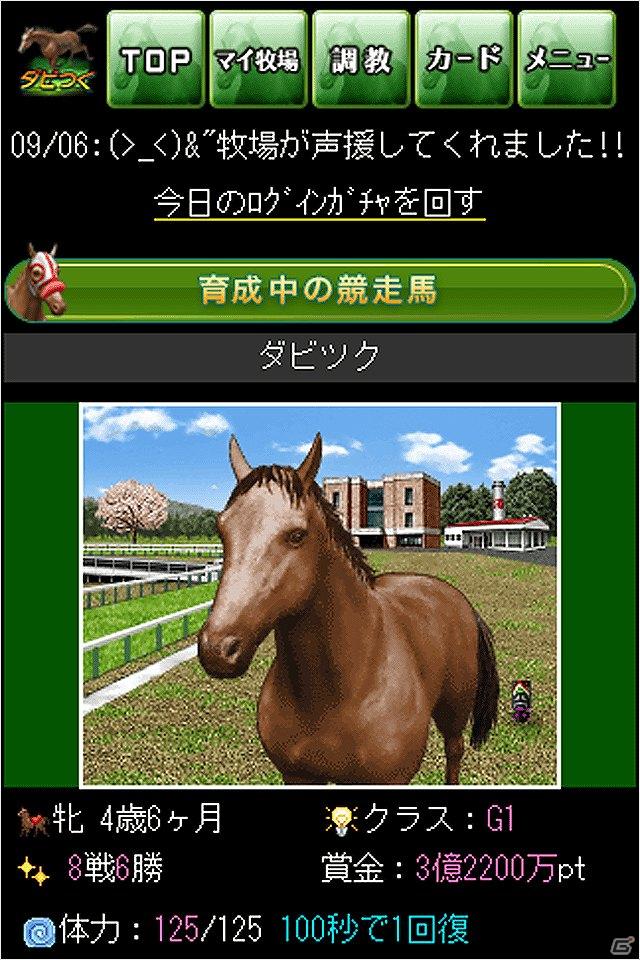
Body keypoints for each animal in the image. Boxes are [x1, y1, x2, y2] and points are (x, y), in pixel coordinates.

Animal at [198, 434, 499, 785]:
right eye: (222, 529)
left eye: (297, 535)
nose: (217, 649)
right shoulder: (297, 775)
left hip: (454, 712)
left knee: (454, 751)